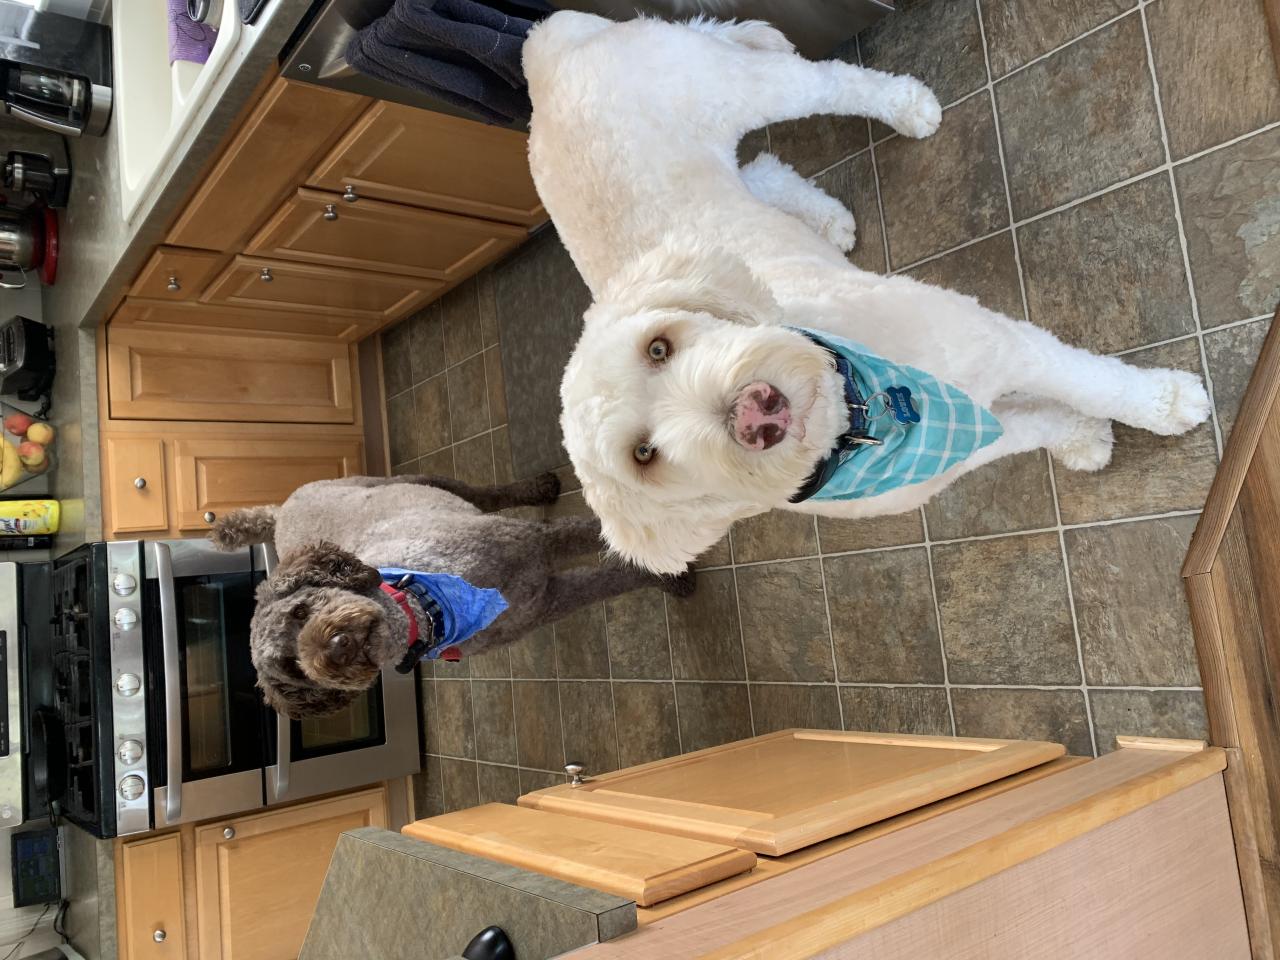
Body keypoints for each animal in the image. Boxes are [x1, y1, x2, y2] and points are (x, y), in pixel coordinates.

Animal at [210, 473, 692, 717]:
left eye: (300, 610)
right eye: (293, 669)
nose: (336, 648)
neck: (430, 605)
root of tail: (277, 518)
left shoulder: (538, 543)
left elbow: (593, 530)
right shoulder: (547, 602)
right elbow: (613, 579)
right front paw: (668, 576)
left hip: (408, 479)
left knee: (485, 492)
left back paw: (538, 487)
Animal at [524, 12, 1212, 575]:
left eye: (658, 347)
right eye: (644, 454)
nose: (755, 412)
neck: (865, 409)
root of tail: (538, 56)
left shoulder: (999, 341)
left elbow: (1090, 380)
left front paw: (1167, 401)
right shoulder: (969, 446)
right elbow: (1035, 424)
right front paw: (1079, 438)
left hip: (734, 85)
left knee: (825, 81)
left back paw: (906, 107)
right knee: (761, 168)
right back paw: (824, 220)